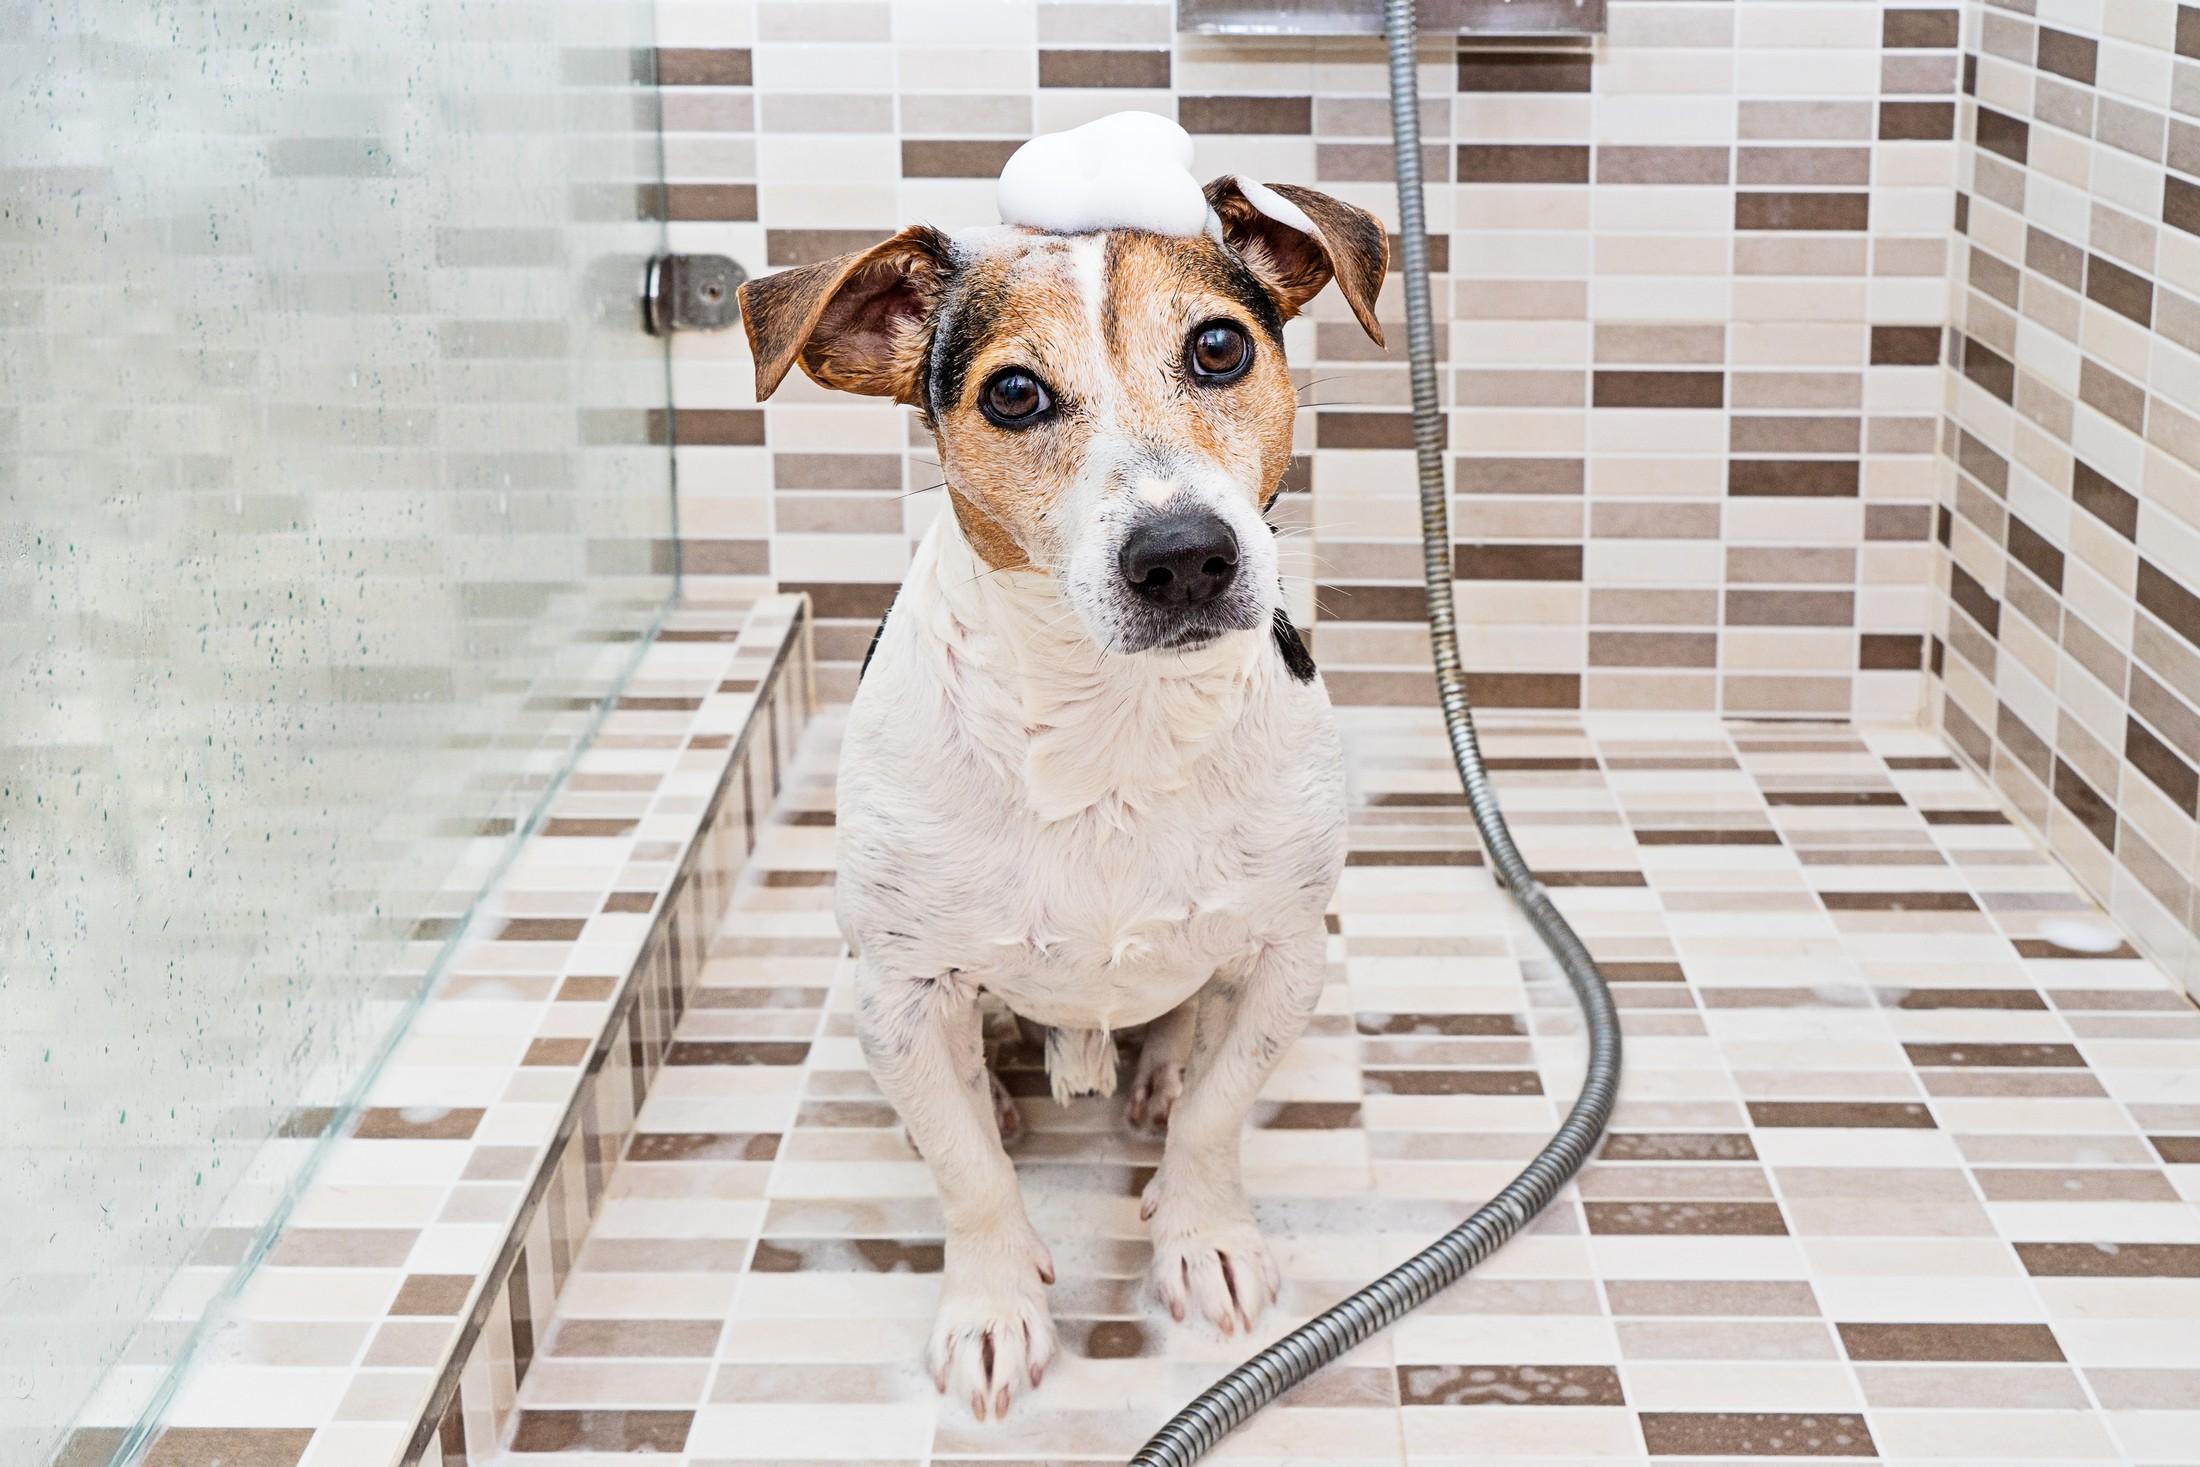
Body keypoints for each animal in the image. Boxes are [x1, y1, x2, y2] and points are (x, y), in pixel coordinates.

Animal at [743, 174, 1390, 1425]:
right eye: (1013, 393)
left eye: (1220, 347)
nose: (1183, 556)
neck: (1111, 725)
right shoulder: (898, 992)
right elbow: (970, 1179)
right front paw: (992, 1308)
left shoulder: (1287, 957)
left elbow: (1219, 1116)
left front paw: (1202, 1236)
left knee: (1184, 1040)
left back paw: (1160, 1073)